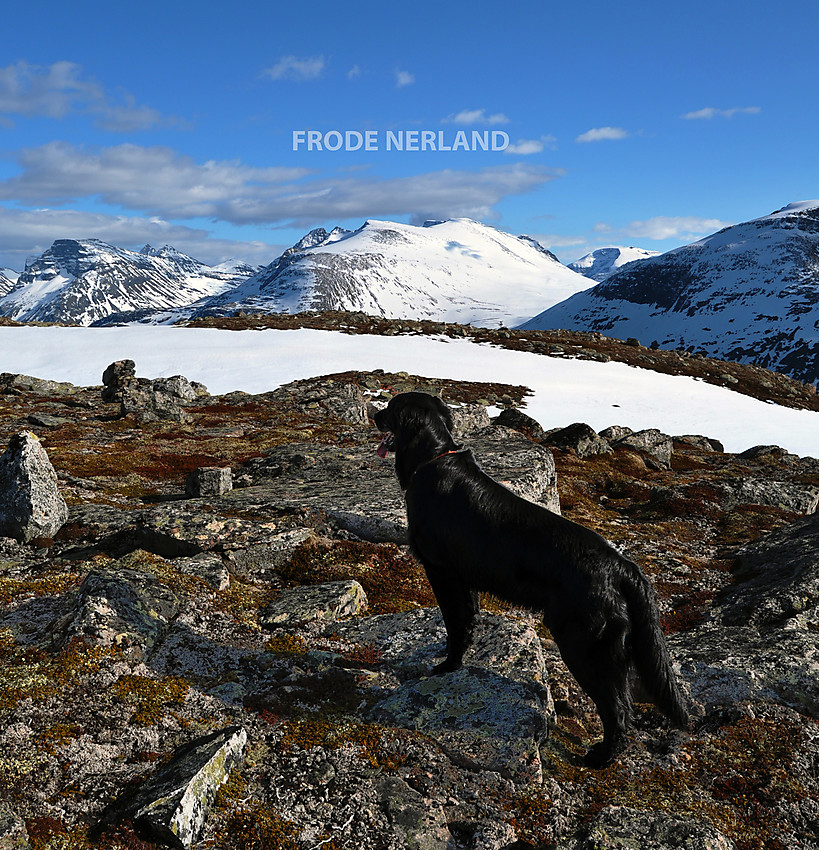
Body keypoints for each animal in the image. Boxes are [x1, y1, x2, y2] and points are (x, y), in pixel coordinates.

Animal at [374, 390, 688, 768]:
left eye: (391, 408)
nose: (374, 415)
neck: (433, 458)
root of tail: (621, 565)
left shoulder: (442, 572)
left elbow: (454, 624)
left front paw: (447, 667)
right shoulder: (465, 580)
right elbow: (467, 624)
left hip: (583, 645)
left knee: (618, 712)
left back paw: (598, 758)